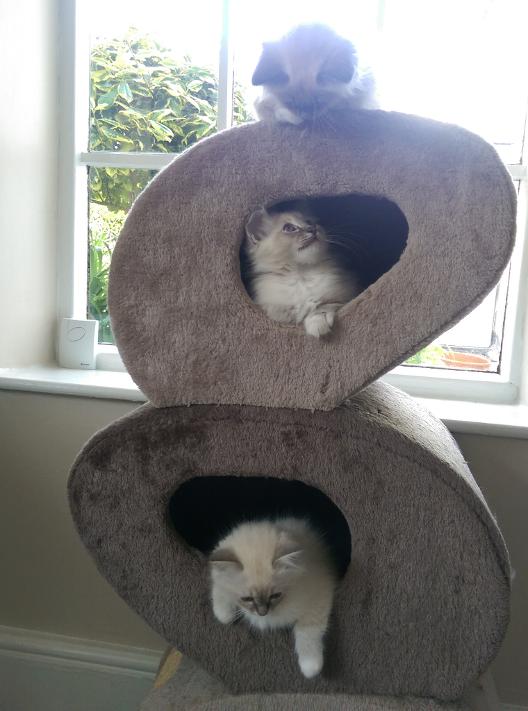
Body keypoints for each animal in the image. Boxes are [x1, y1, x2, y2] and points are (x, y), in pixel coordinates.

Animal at [208, 516, 336, 680]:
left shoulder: (319, 595)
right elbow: (221, 596)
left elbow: (306, 631)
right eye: (247, 598)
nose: (262, 613)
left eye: (275, 595)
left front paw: (310, 666)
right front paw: (225, 615)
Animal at [244, 204, 360, 338]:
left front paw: (318, 322)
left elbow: (323, 306)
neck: (300, 275)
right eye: (289, 228)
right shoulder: (275, 310)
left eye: (309, 222)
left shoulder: (344, 296)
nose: (312, 228)